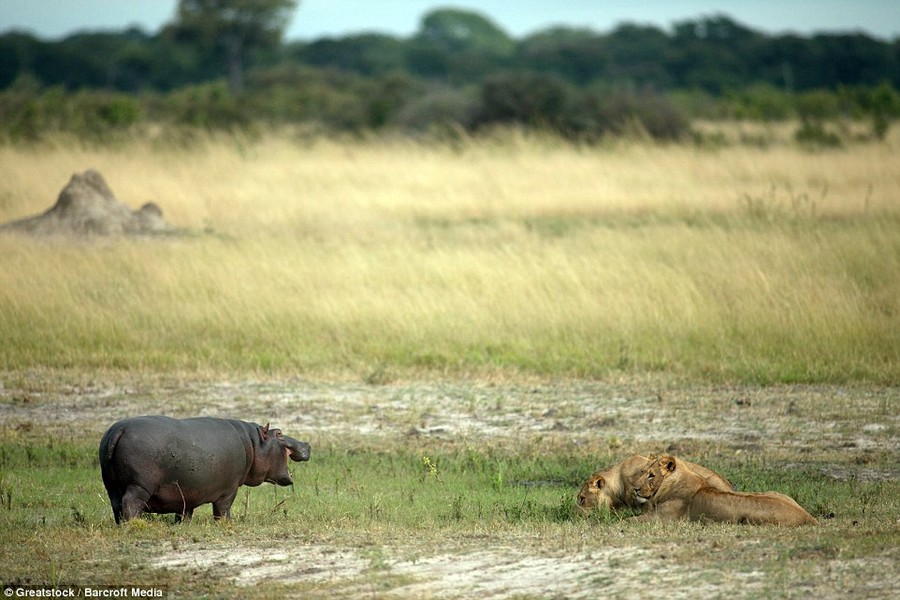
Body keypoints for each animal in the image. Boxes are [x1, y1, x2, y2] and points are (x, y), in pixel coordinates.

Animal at [97, 414, 310, 524]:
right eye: (279, 433)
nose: (307, 443)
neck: (253, 444)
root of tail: (119, 430)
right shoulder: (229, 489)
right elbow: (223, 509)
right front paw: (226, 524)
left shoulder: (188, 491)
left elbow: (185, 512)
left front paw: (182, 525)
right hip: (140, 485)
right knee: (130, 503)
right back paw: (133, 525)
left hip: (111, 485)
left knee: (117, 504)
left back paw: (121, 525)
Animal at [628, 454, 820, 524]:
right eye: (643, 472)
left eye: (651, 475)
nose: (635, 489)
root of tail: (808, 516)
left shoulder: (663, 519)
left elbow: (629, 520)